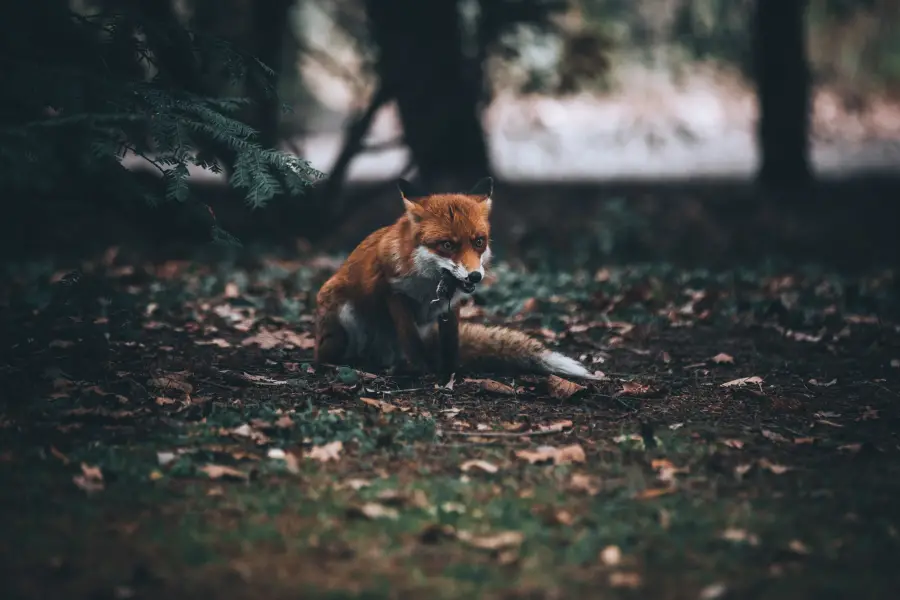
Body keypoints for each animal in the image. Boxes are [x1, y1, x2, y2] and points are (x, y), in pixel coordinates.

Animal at [313, 177, 599, 380]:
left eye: (479, 242)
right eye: (447, 245)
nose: (475, 275)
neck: (427, 285)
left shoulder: (451, 305)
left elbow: (451, 342)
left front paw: (451, 371)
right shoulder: (394, 293)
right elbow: (411, 340)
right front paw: (423, 371)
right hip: (344, 313)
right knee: (337, 355)